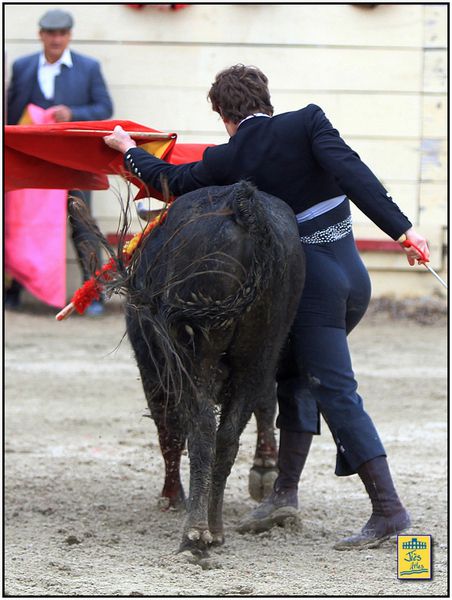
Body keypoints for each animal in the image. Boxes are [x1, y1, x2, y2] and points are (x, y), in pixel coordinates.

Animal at [72, 182, 306, 556]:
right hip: (261, 349)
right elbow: (265, 404)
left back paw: (195, 533)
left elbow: (168, 430)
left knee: (200, 430)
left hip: (193, 354)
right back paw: (216, 527)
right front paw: (264, 467)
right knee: (228, 436)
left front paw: (171, 497)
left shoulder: (153, 365)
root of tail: (244, 205)